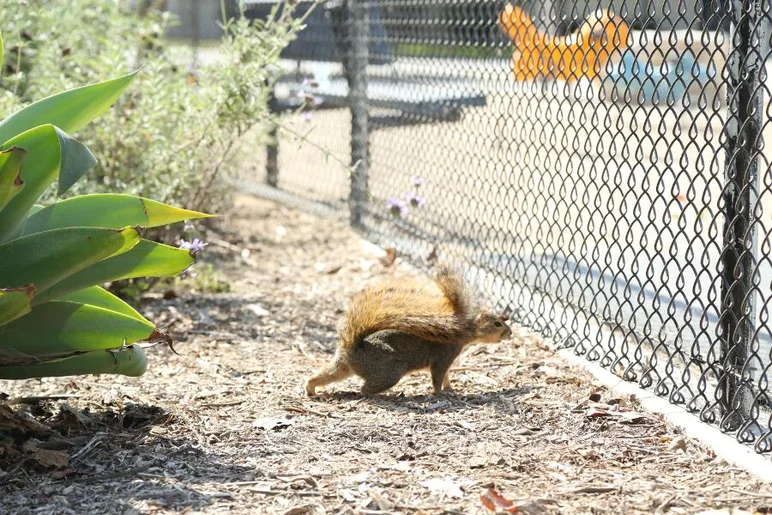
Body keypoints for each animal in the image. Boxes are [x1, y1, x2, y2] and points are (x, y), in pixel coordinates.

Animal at [306, 264, 512, 398]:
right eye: (497, 324)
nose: (510, 333)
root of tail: (354, 348)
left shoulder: (446, 361)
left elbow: (446, 376)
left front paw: (451, 389)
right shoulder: (443, 356)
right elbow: (438, 376)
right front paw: (440, 394)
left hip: (343, 366)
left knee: (325, 374)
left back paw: (310, 388)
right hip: (390, 369)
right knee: (364, 390)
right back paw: (386, 395)